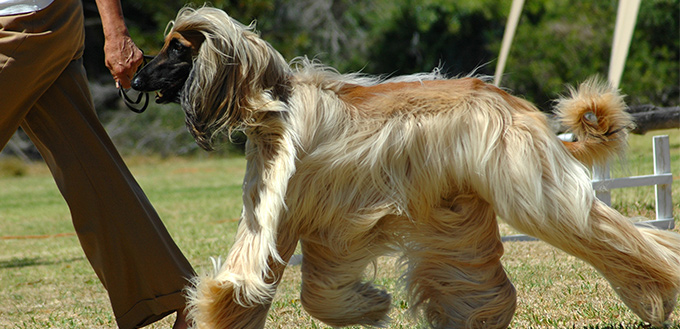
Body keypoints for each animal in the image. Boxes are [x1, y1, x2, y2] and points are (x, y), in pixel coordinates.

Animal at [133, 5, 680, 328]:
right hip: (455, 206)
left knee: (607, 229)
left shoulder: (310, 207)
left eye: (176, 49)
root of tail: (511, 100)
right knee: (474, 272)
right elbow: (300, 285)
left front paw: (369, 304)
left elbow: (281, 283)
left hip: (528, 185)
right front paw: (369, 304)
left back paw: (658, 290)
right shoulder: (303, 214)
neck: (273, 104)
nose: (133, 76)